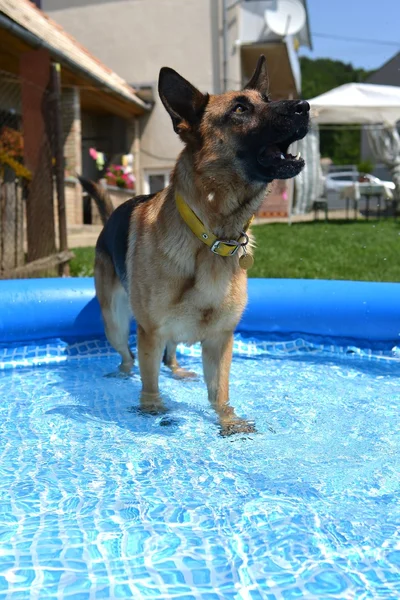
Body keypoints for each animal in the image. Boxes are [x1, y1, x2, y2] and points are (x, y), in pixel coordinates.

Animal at [79, 56, 310, 434]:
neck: (211, 236)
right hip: (115, 321)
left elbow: (219, 390)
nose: (304, 106)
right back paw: (122, 374)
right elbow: (149, 379)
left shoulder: (219, 340)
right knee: (128, 358)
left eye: (267, 98)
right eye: (241, 109)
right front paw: (152, 407)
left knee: (170, 355)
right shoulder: (150, 331)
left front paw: (228, 420)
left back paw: (177, 370)